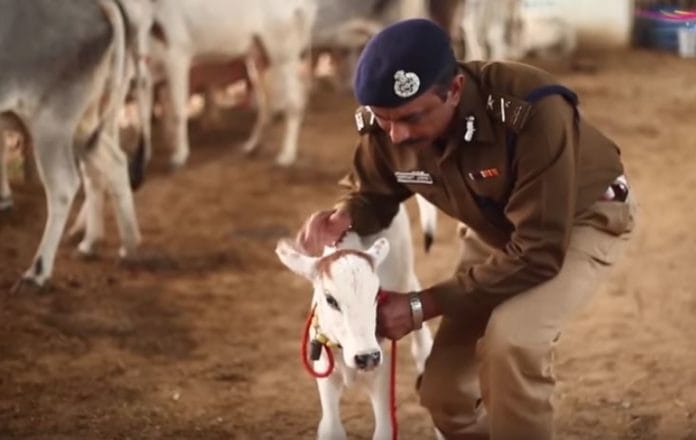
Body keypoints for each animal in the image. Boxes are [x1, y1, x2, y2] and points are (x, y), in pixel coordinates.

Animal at [0, 0, 148, 291]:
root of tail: (99, 4)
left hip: (51, 123)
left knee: (64, 186)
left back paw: (38, 271)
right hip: (84, 124)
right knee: (114, 163)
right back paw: (127, 248)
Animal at [148, 0, 318, 168]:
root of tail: (305, 6)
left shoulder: (176, 56)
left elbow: (177, 109)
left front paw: (179, 156)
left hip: (284, 56)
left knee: (293, 103)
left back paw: (286, 155)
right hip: (261, 58)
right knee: (267, 105)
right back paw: (252, 146)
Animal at [275, 203, 435, 440]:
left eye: (377, 294)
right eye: (330, 299)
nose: (366, 357)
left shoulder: (382, 373)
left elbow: (385, 429)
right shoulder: (325, 373)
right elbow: (331, 428)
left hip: (405, 268)